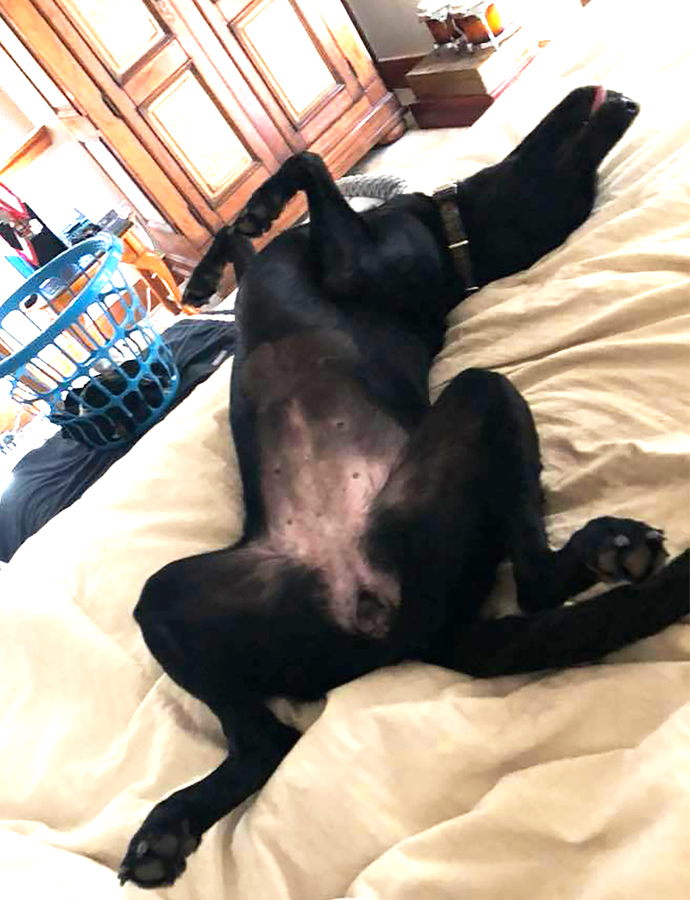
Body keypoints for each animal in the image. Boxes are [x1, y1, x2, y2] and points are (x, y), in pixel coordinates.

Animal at [118, 87, 689, 888]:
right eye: (580, 181)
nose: (621, 102)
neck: (454, 249)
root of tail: (416, 632)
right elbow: (245, 246)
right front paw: (207, 273)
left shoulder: (353, 262)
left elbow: (307, 162)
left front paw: (257, 212)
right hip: (168, 599)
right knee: (264, 746)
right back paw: (169, 829)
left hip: (479, 398)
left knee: (535, 584)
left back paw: (610, 548)